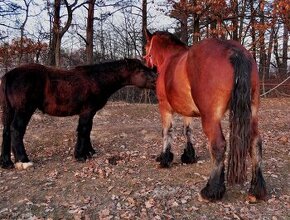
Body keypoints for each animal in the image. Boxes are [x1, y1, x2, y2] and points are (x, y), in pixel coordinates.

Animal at [0, 58, 156, 170]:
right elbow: (84, 130)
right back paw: (24, 161)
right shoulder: (87, 111)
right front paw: (81, 155)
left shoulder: (90, 112)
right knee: (16, 130)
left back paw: (7, 163)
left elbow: (88, 131)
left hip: (9, 110)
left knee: (7, 131)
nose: (156, 79)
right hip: (24, 110)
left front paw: (89, 152)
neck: (96, 79)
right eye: (140, 70)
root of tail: (9, 75)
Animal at [144, 29, 266, 203]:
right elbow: (187, 131)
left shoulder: (164, 108)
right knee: (255, 143)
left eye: (146, 46)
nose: (148, 65)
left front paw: (164, 158)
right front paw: (189, 156)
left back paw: (211, 190)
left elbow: (167, 132)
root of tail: (234, 50)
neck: (170, 59)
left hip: (211, 118)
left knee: (219, 145)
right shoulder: (187, 112)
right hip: (252, 113)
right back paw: (256, 190)